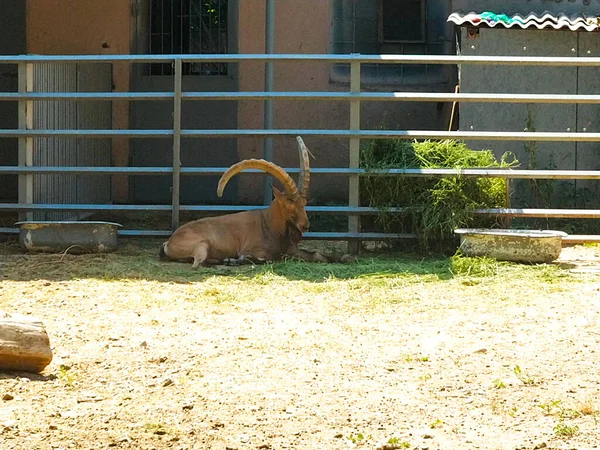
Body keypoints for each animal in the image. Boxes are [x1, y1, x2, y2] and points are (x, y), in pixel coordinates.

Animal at [159, 134, 352, 268]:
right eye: (289, 204)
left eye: (304, 203)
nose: (305, 226)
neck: (269, 225)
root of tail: (169, 242)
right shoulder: (253, 249)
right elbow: (265, 258)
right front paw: (238, 259)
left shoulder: (292, 250)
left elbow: (317, 255)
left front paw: (346, 258)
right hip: (202, 244)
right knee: (198, 263)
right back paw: (228, 261)